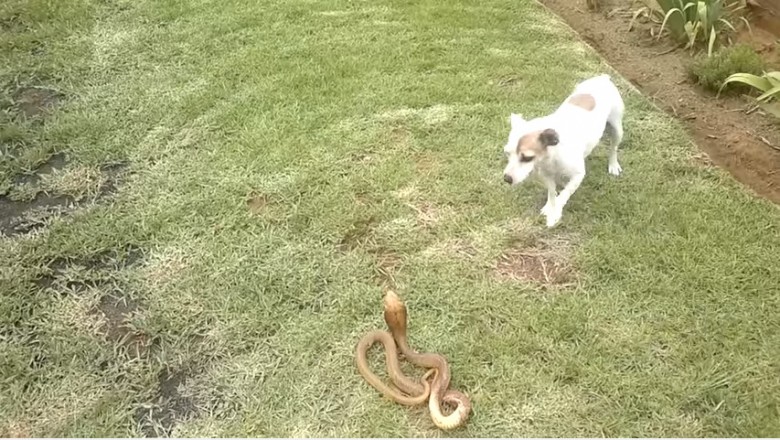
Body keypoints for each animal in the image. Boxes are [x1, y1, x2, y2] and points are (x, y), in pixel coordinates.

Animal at [502, 73, 624, 227]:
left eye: (527, 157)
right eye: (507, 153)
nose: (507, 178)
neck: (550, 156)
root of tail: (603, 78)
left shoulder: (578, 176)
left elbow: (564, 194)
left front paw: (555, 213)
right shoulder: (546, 175)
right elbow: (552, 192)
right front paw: (550, 205)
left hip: (617, 129)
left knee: (613, 148)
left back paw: (613, 165)